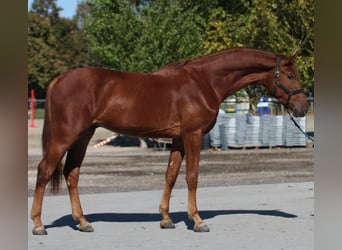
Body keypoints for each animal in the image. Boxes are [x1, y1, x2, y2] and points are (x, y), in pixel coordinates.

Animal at [30, 47, 308, 234]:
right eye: (291, 76)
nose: (302, 107)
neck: (203, 82)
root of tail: (59, 79)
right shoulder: (193, 135)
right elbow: (192, 176)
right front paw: (197, 221)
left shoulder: (178, 140)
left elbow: (171, 175)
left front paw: (165, 219)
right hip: (65, 135)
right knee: (45, 170)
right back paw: (38, 224)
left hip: (84, 135)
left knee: (71, 173)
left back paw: (83, 222)